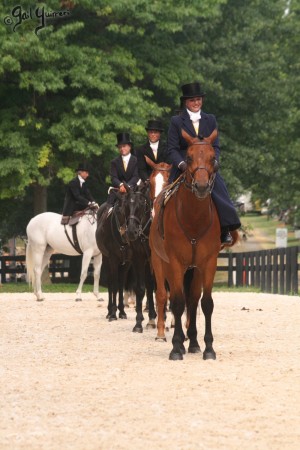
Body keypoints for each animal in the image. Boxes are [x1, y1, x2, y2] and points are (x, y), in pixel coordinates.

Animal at [150, 128, 239, 360]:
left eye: (213, 157)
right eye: (188, 158)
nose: (201, 186)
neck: (194, 218)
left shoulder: (207, 263)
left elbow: (205, 303)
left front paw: (207, 348)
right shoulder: (174, 263)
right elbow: (177, 302)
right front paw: (176, 347)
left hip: (193, 268)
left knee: (192, 299)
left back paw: (193, 342)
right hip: (161, 261)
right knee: (167, 297)